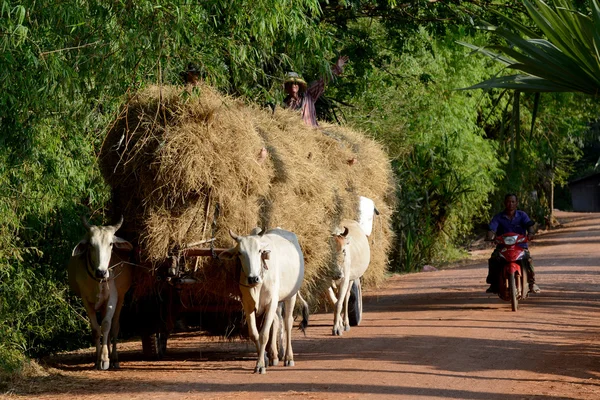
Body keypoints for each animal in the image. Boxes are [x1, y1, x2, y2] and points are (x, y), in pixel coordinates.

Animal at [68, 217, 134, 370]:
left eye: (110, 243)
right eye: (91, 245)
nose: (101, 272)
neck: (98, 281)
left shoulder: (113, 298)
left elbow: (106, 325)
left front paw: (105, 359)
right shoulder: (85, 300)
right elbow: (96, 329)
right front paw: (98, 360)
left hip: (121, 298)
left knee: (114, 327)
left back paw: (114, 359)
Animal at [219, 228, 304, 376]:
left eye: (259, 251)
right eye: (240, 253)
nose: (253, 278)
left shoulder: (270, 303)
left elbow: (264, 335)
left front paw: (260, 365)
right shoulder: (247, 305)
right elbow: (254, 334)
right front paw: (264, 359)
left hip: (291, 296)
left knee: (287, 322)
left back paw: (288, 358)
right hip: (277, 302)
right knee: (276, 322)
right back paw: (274, 356)